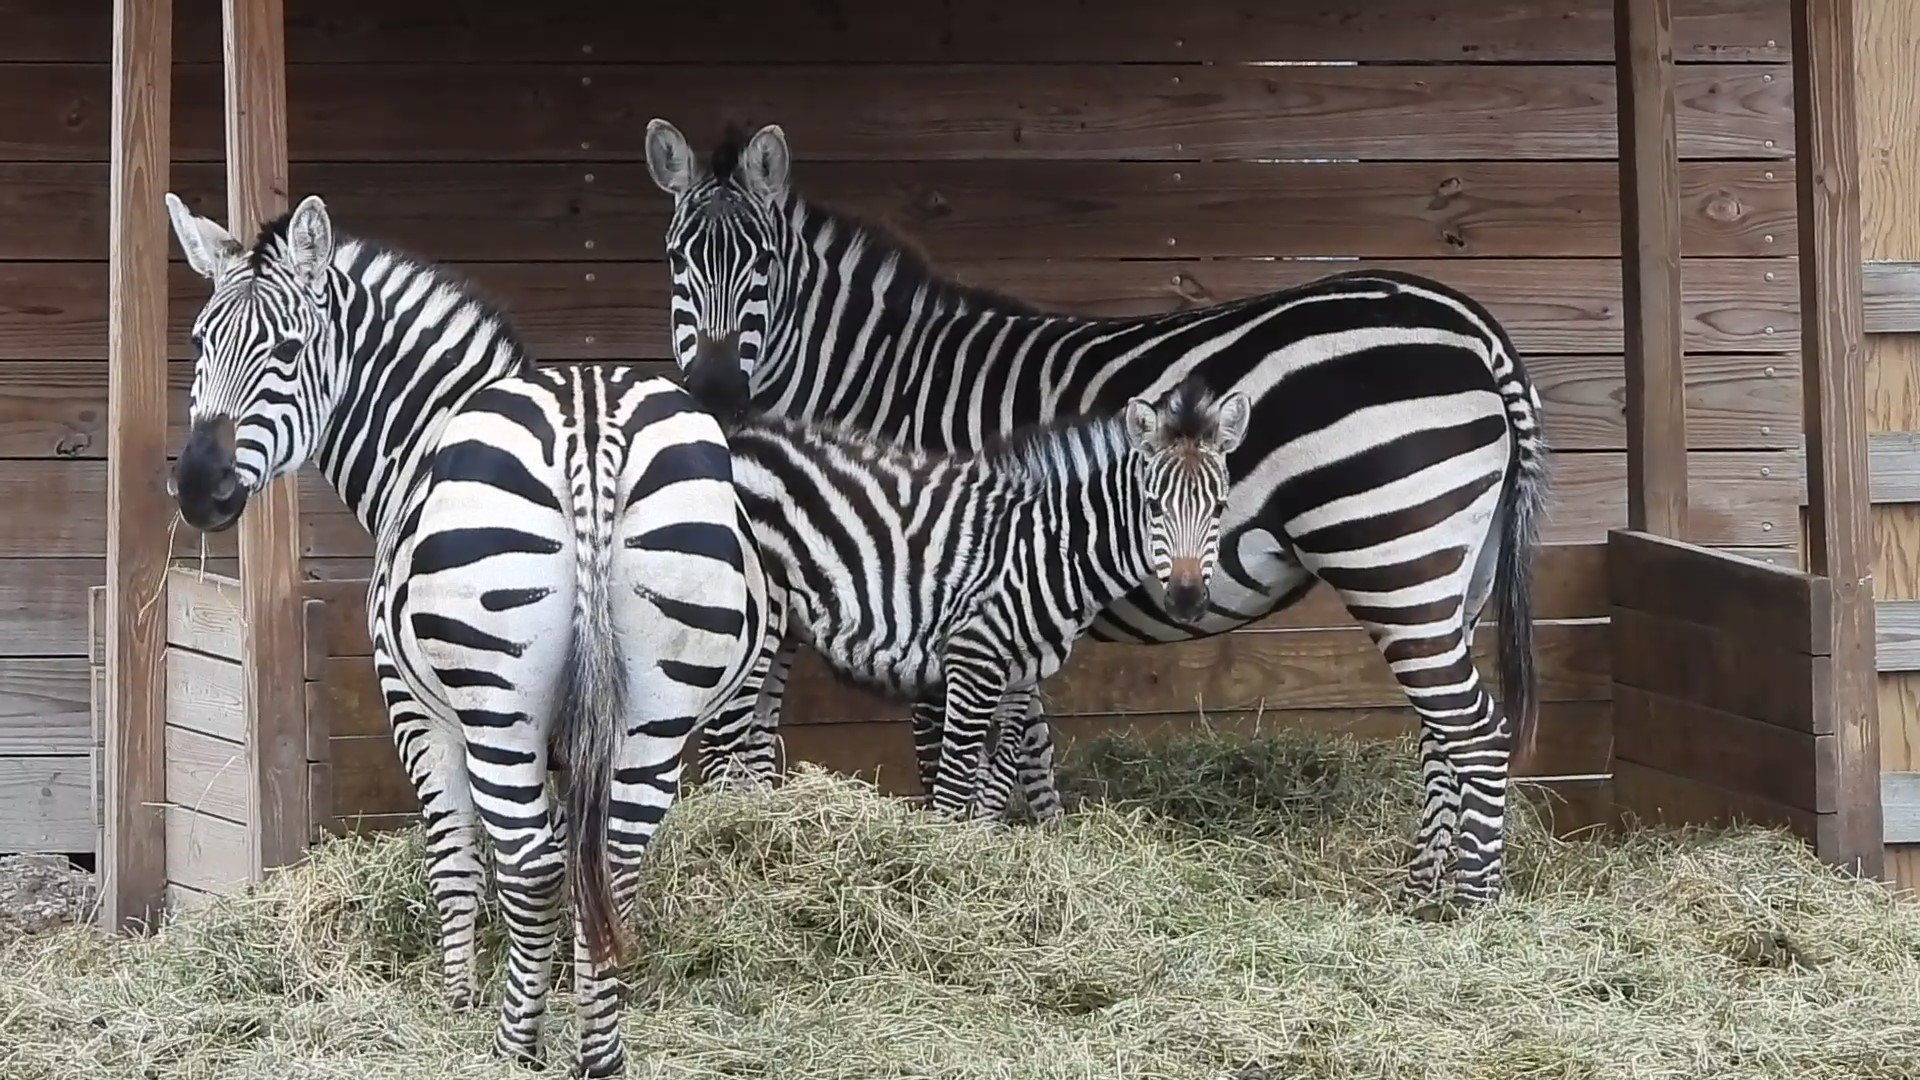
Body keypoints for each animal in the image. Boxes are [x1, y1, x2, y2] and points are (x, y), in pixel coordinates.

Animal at [163, 192, 775, 1077]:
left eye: (286, 349)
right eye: (201, 344)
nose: (198, 489)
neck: (425, 432)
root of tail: (589, 424)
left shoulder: (413, 708)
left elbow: (455, 857)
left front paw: (460, 999)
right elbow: (577, 860)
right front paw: (564, 985)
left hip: (495, 706)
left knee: (530, 862)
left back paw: (511, 1045)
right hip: (658, 708)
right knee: (613, 861)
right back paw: (599, 1053)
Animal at [683, 348, 1248, 820]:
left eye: (1220, 506)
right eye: (1153, 506)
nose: (1187, 598)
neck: (1049, 546)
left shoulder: (1020, 674)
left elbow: (996, 785)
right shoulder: (972, 660)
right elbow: (955, 785)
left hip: (785, 625)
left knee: (751, 739)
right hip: (756, 621)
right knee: (720, 743)